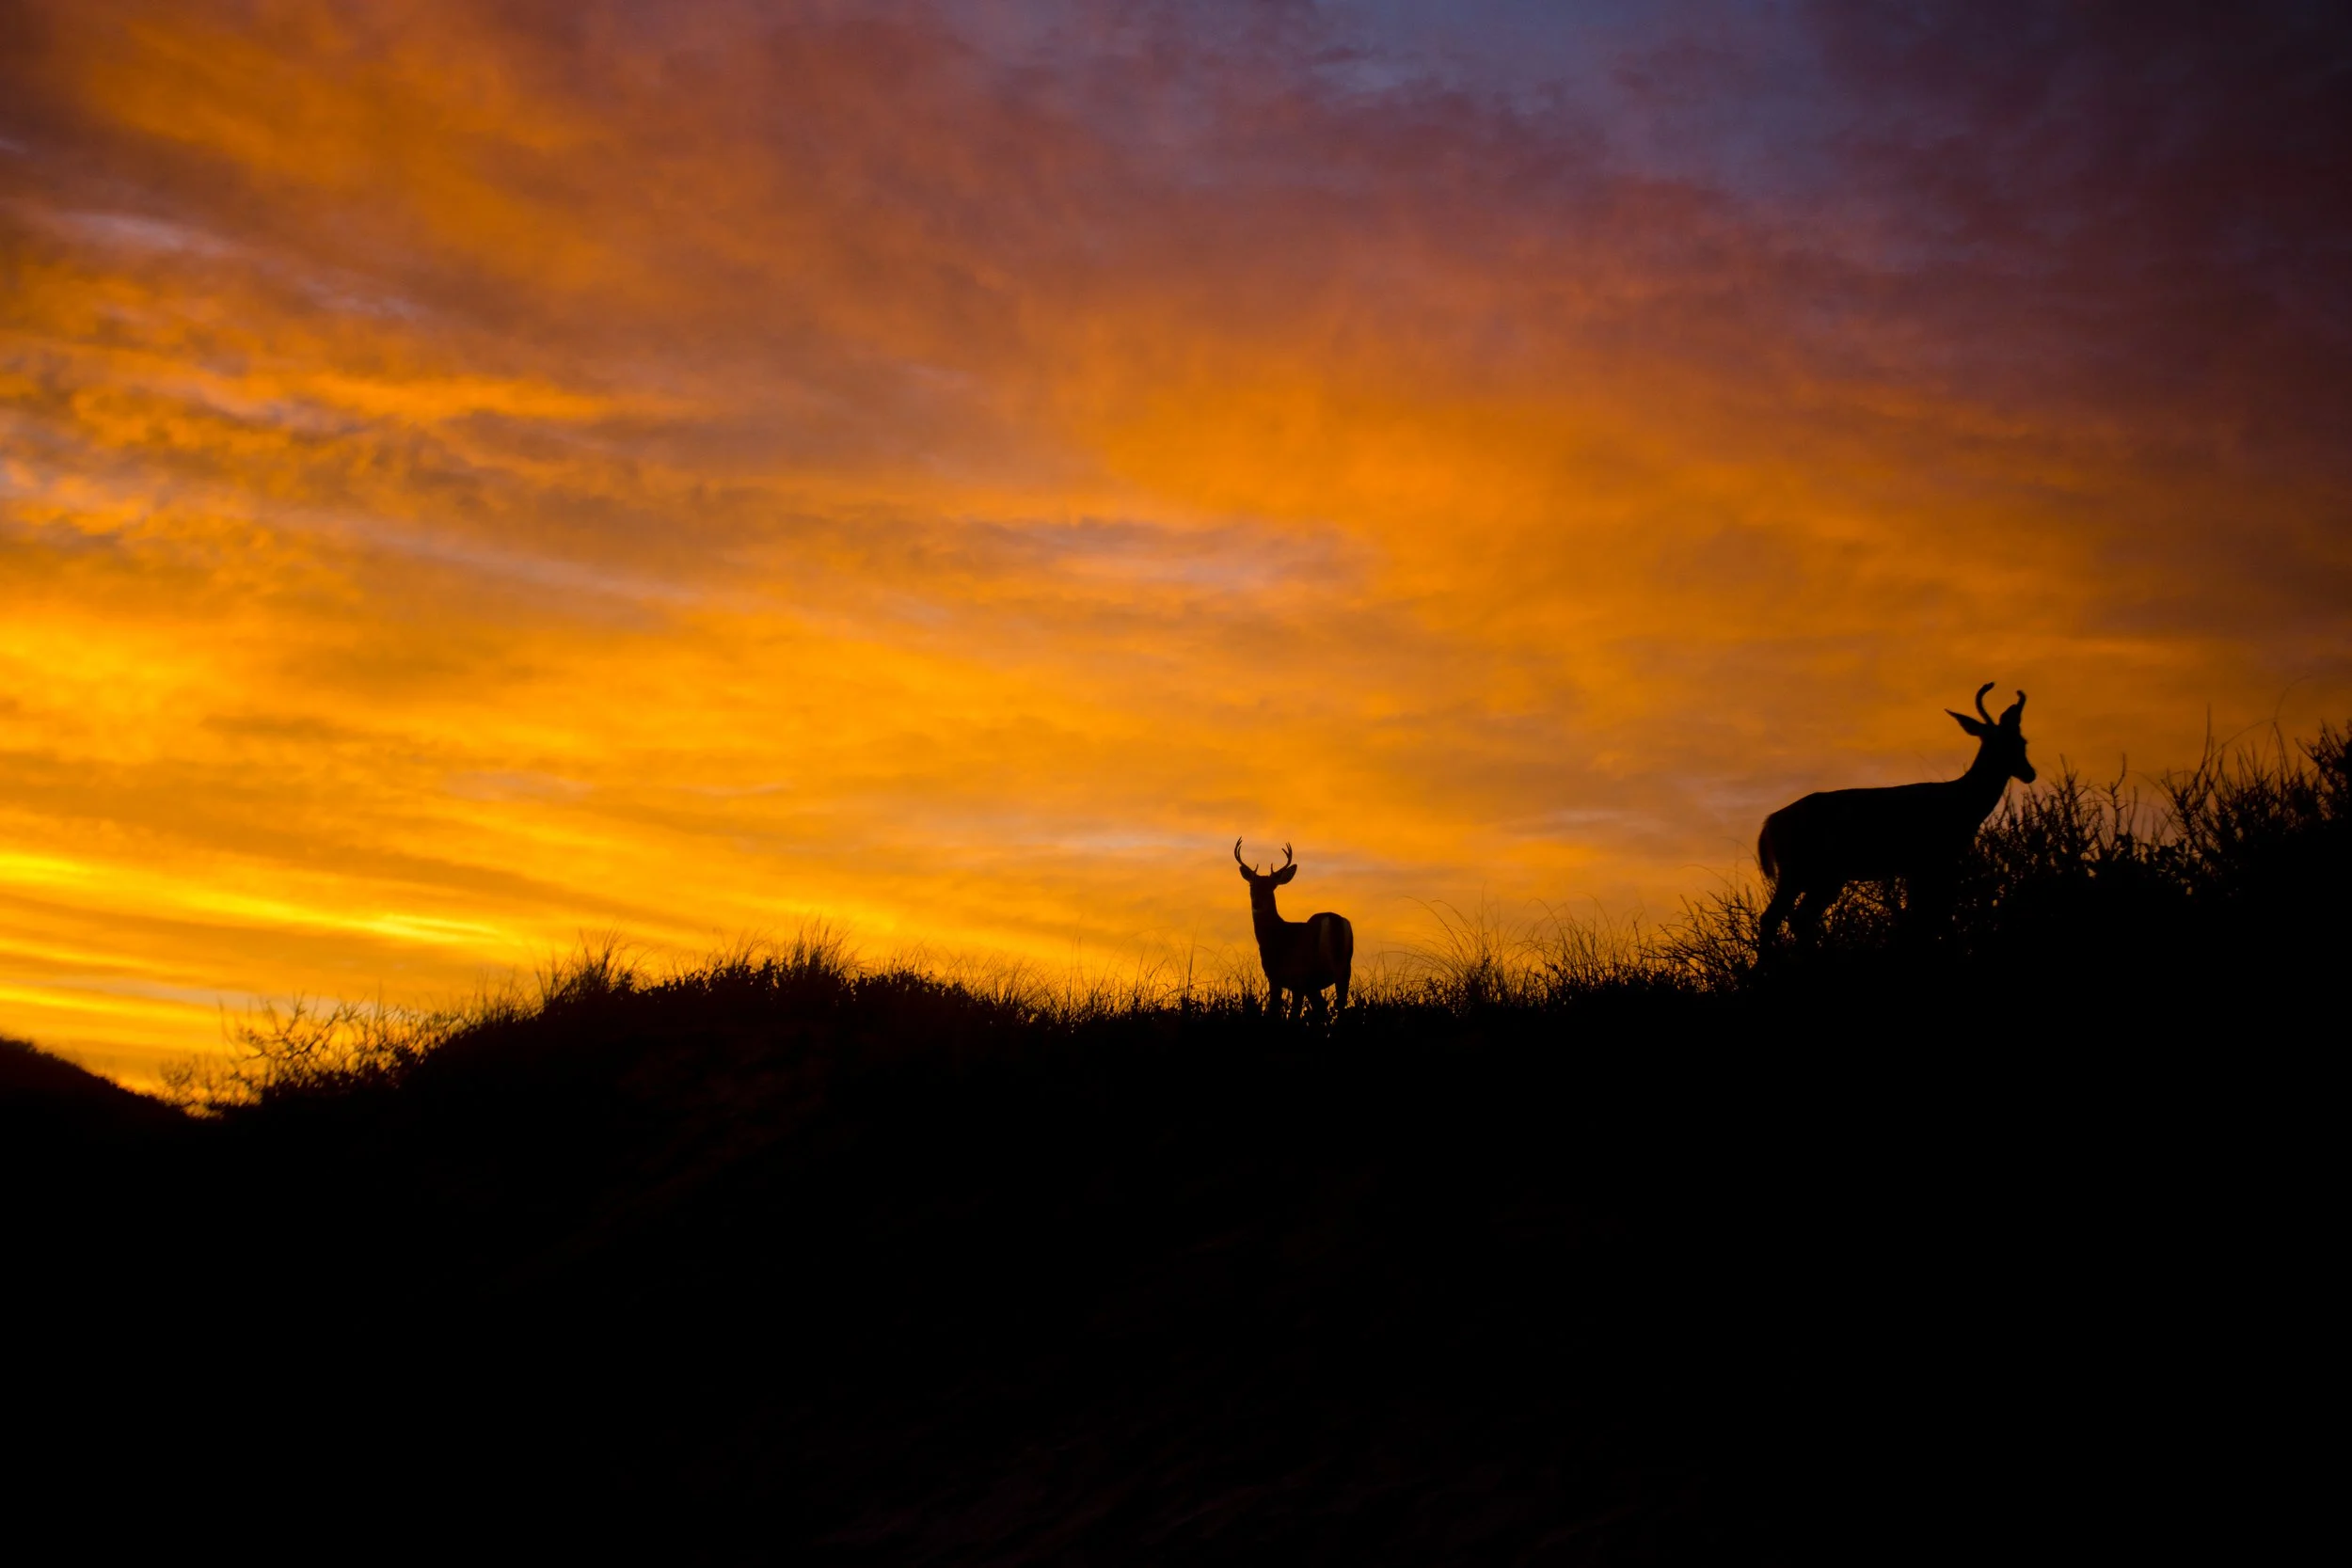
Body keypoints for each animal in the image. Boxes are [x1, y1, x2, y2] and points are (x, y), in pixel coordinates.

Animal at [1234, 840, 1354, 1020]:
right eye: (1251, 885)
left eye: (1272, 887)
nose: (1257, 903)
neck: (1275, 934)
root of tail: (1334, 921)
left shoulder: (1278, 977)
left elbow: (1276, 1011)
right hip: (1342, 970)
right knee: (1335, 1005)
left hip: (1307, 973)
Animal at [1757, 684, 2036, 947]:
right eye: (2000, 743)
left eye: (2021, 742)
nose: (2029, 773)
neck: (1962, 803)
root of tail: (1770, 822)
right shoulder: (1934, 859)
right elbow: (1933, 916)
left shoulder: (1920, 866)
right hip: (1801, 870)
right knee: (1775, 918)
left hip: (1824, 876)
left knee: (1797, 918)